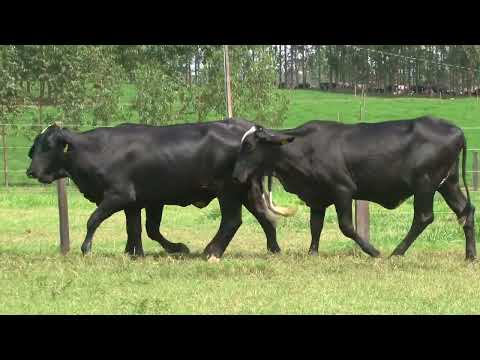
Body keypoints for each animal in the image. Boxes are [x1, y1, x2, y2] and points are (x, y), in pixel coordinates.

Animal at [27, 118, 296, 258]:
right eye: (34, 147)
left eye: (48, 146)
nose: (31, 171)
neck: (97, 150)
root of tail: (241, 125)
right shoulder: (139, 201)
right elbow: (138, 229)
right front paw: (134, 253)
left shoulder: (119, 195)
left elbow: (94, 220)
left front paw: (86, 248)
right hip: (247, 189)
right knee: (265, 216)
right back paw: (273, 248)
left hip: (228, 192)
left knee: (232, 221)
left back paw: (212, 251)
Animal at [232, 116, 476, 260]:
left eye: (249, 146)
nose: (235, 175)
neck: (304, 147)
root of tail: (456, 129)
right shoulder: (317, 197)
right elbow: (315, 226)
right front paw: (312, 253)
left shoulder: (343, 189)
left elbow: (347, 227)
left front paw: (373, 251)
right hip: (448, 184)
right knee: (466, 211)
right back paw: (470, 256)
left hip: (425, 185)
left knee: (424, 217)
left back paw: (396, 253)